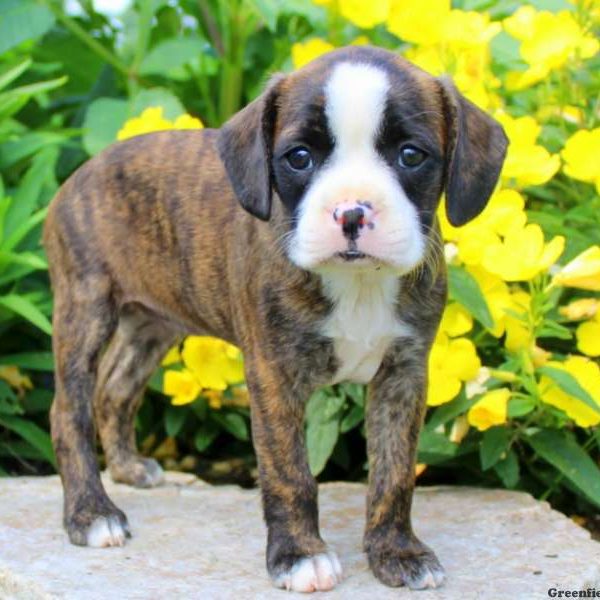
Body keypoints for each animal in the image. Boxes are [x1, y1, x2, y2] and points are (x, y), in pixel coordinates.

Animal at [44, 45, 508, 592]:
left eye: (411, 155)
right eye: (299, 157)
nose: (352, 212)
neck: (357, 282)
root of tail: (81, 172)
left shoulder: (404, 374)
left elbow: (393, 472)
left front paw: (397, 551)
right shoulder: (273, 374)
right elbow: (290, 472)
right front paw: (300, 555)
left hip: (151, 324)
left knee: (115, 389)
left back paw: (129, 469)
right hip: (85, 306)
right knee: (68, 409)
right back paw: (92, 514)